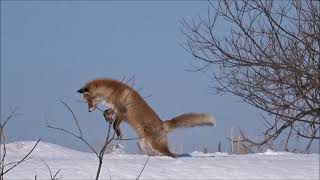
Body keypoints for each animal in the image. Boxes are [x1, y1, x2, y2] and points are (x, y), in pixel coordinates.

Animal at [76, 78, 214, 157]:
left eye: (89, 100)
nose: (89, 110)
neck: (113, 91)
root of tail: (163, 123)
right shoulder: (115, 109)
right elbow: (105, 112)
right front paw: (107, 118)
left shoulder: (122, 111)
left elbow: (116, 124)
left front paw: (119, 134)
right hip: (143, 144)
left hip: (156, 144)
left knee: (171, 154)